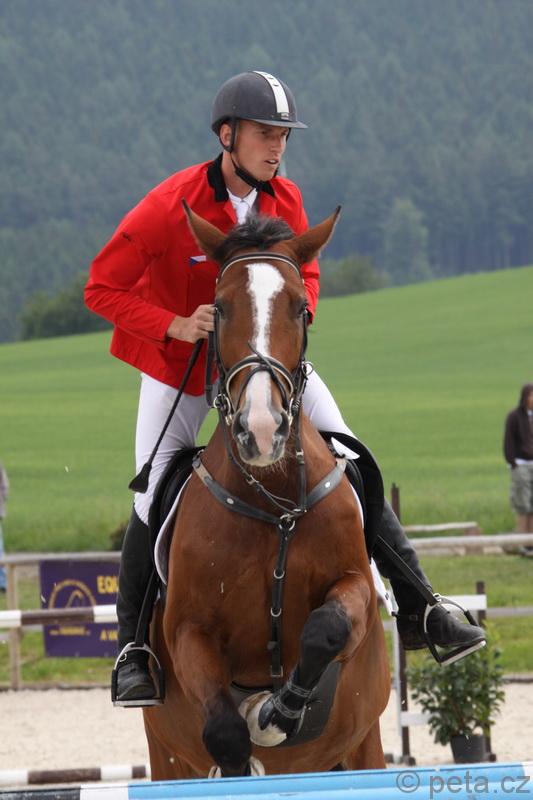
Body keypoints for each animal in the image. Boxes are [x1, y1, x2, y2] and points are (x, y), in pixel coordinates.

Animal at [143, 204, 390, 779]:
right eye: (220, 309)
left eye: (302, 309)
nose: (261, 429)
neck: (272, 501)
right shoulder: (189, 631)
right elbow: (225, 733)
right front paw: (251, 730)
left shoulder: (353, 587)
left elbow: (326, 628)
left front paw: (277, 711)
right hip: (166, 754)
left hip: (363, 744)